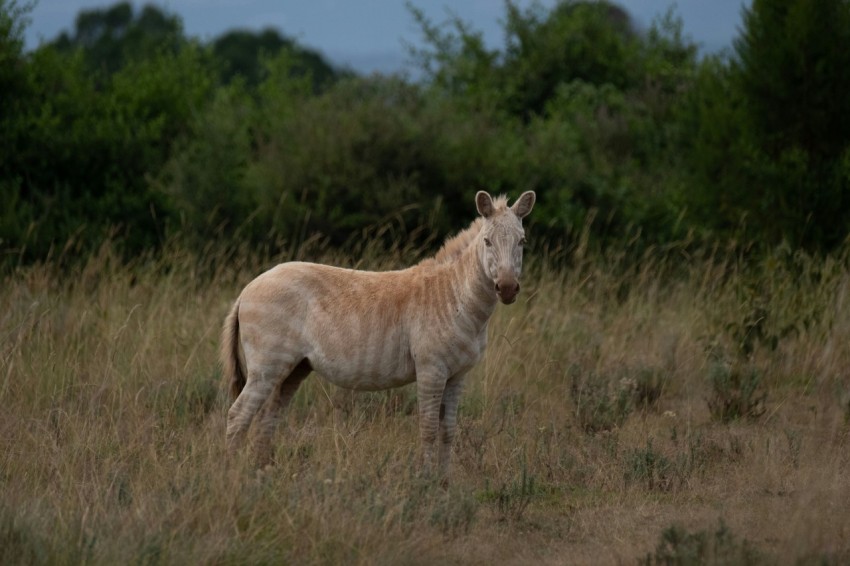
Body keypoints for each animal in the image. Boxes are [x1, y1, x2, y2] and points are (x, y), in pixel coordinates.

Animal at [222, 192, 532, 480]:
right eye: (487, 242)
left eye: (522, 242)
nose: (506, 289)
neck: (456, 297)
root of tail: (248, 287)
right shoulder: (431, 369)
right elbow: (429, 429)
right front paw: (426, 483)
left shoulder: (457, 375)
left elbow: (448, 431)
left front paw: (445, 485)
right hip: (268, 366)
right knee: (238, 416)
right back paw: (233, 477)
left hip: (295, 368)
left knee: (267, 417)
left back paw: (262, 475)